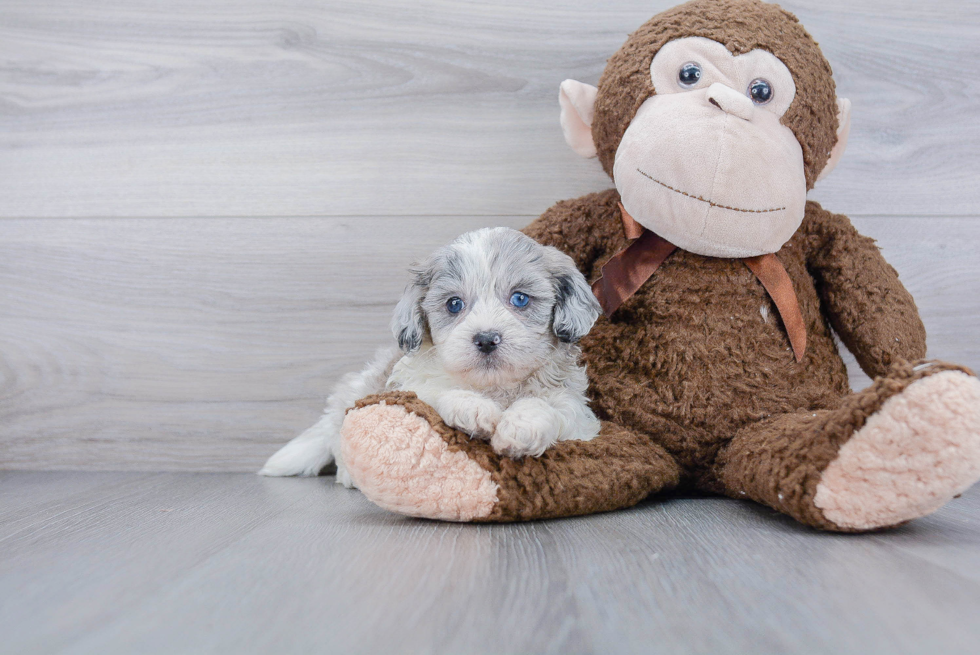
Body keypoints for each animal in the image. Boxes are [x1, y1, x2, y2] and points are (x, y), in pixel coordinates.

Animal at [256, 226, 600, 486]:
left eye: (520, 299)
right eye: (454, 304)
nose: (486, 339)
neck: (494, 388)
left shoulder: (577, 413)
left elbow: (545, 406)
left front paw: (522, 426)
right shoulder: (411, 386)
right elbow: (438, 393)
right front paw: (472, 408)